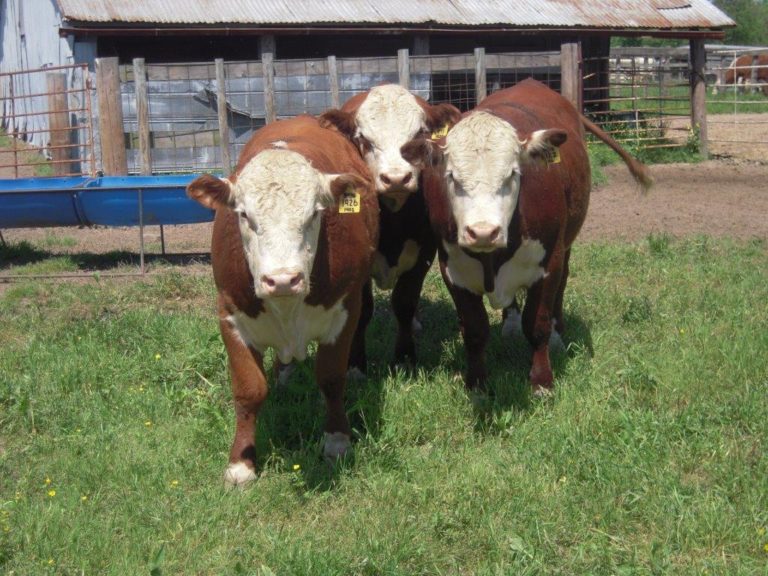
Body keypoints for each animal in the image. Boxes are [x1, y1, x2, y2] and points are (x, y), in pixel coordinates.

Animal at [186, 115, 378, 487]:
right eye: (244, 215)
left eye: (315, 213)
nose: (283, 279)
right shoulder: (229, 314)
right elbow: (249, 389)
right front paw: (241, 463)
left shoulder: (344, 310)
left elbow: (331, 378)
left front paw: (337, 441)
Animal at [319, 84, 461, 372]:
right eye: (363, 138)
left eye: (420, 134)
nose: (396, 178)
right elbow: (363, 311)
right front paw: (356, 364)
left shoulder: (423, 256)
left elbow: (404, 303)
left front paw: (405, 357)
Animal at [402, 78, 652, 395]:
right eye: (451, 177)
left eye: (512, 174)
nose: (483, 232)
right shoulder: (454, 271)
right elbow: (474, 330)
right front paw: (477, 383)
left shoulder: (547, 265)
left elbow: (537, 325)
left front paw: (542, 381)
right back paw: (510, 323)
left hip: (565, 248)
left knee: (562, 286)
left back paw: (557, 333)